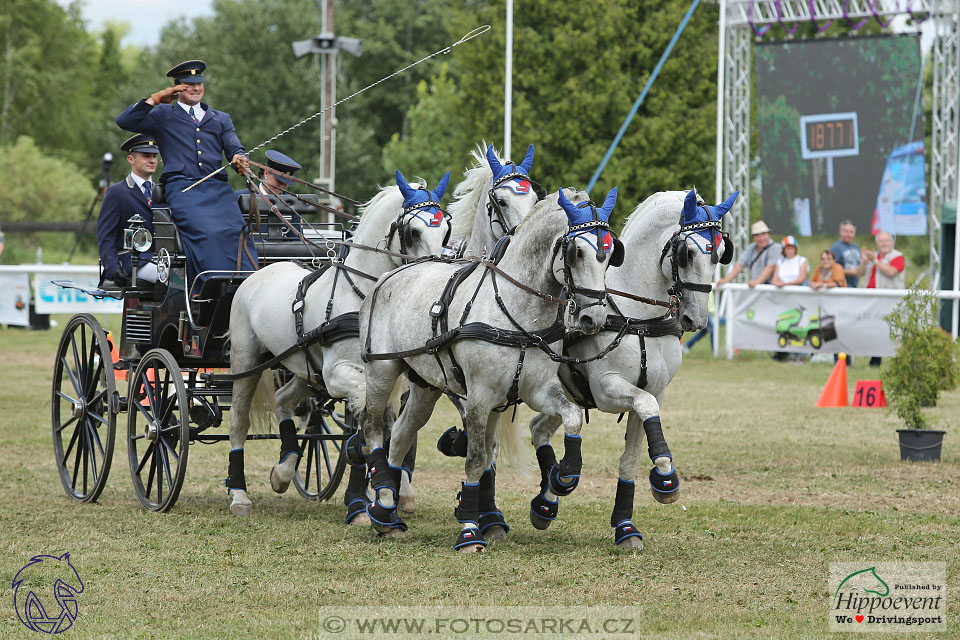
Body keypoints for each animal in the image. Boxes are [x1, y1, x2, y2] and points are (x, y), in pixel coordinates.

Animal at [223, 171, 456, 520]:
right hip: (247, 361)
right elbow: (368, 409)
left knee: (283, 399)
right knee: (239, 419)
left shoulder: (387, 372)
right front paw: (367, 470)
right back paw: (239, 494)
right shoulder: (336, 374)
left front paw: (395, 487)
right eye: (413, 231)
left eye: (445, 230)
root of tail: (260, 271)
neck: (365, 295)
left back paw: (284, 470)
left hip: (306, 370)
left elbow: (390, 422)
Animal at [356, 186, 620, 552]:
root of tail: (388, 276)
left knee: (401, 434)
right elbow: (476, 459)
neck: (516, 310)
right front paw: (469, 528)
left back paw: (388, 513)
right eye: (576, 252)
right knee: (373, 426)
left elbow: (572, 417)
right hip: (382, 370)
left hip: (425, 386)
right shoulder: (479, 397)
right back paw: (382, 496)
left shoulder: (535, 390)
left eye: (609, 254)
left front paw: (563, 478)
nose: (592, 318)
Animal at [528, 188, 740, 548]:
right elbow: (645, 404)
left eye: (722, 253)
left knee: (538, 429)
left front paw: (626, 525)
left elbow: (630, 458)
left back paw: (547, 501)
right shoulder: (606, 389)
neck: (637, 317)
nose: (696, 319)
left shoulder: (656, 389)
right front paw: (666, 478)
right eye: (686, 253)